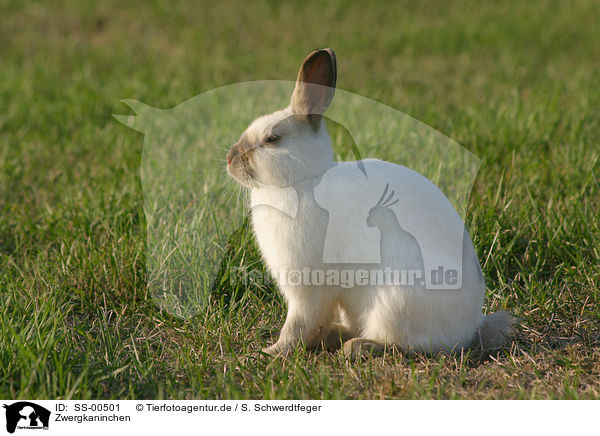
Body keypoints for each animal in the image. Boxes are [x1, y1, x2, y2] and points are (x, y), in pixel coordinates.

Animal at [227, 47, 512, 358]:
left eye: (271, 139)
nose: (230, 159)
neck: (303, 180)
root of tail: (469, 330)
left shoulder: (309, 285)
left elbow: (299, 323)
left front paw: (272, 352)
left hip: (393, 303)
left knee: (398, 344)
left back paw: (355, 348)